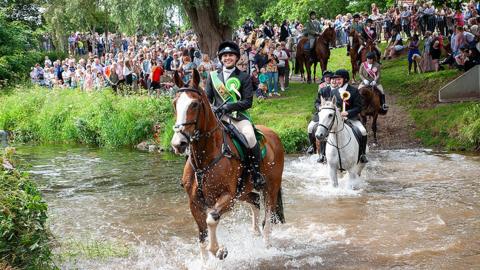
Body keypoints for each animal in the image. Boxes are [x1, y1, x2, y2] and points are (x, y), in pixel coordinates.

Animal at [171, 69, 284, 260]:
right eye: (174, 103)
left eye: (194, 104)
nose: (178, 143)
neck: (204, 160)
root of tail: (274, 135)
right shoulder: (194, 203)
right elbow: (202, 239)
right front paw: (206, 262)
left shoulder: (227, 198)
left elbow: (211, 219)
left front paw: (219, 250)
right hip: (243, 191)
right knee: (255, 201)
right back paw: (254, 233)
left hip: (271, 187)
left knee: (268, 217)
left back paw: (266, 245)